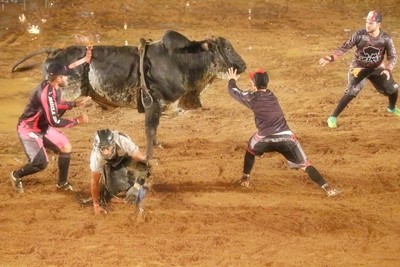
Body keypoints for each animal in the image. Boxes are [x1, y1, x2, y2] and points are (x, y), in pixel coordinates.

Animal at [11, 30, 247, 158]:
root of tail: (54, 51)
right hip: (61, 95)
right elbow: (150, 131)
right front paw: (150, 157)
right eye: (226, 48)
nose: (243, 65)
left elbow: (154, 131)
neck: (180, 60)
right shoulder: (153, 103)